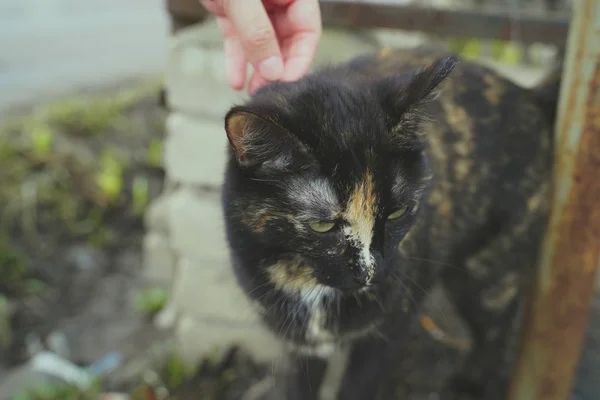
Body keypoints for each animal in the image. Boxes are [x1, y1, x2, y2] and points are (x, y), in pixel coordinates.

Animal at [219, 45, 556, 398]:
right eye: (322, 225)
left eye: (397, 213)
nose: (369, 271)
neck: (310, 287)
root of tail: (530, 96)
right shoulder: (298, 346)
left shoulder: (390, 332)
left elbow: (358, 387)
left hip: (488, 273)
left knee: (497, 327)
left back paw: (471, 383)